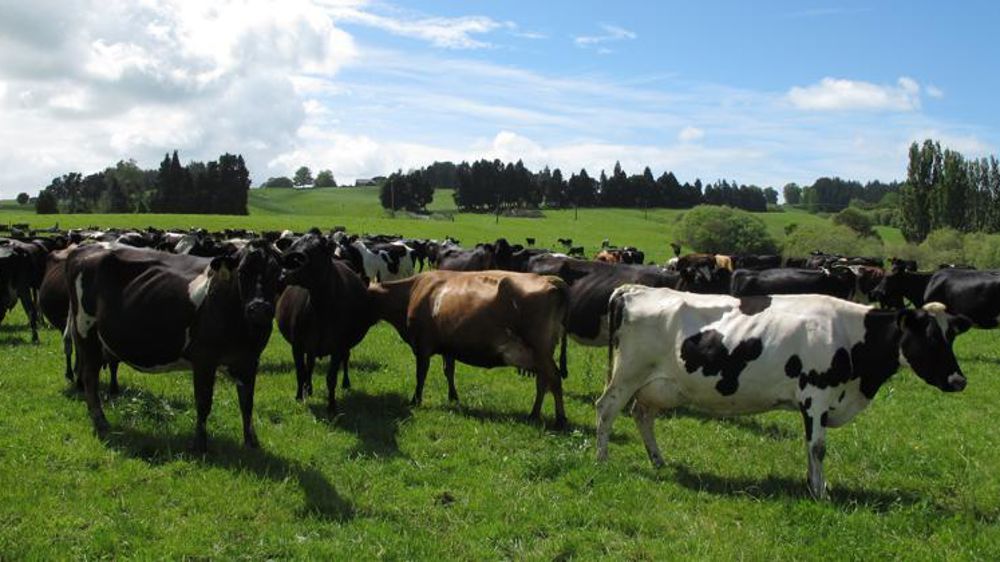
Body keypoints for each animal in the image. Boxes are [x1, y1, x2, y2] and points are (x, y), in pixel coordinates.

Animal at [66, 240, 281, 451]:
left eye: (278, 273)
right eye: (242, 272)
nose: (259, 308)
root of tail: (84, 247)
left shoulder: (250, 360)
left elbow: (247, 403)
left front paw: (252, 443)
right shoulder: (204, 359)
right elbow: (204, 402)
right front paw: (200, 444)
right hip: (86, 330)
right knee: (90, 377)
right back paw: (100, 422)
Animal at [277, 230, 377, 410]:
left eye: (317, 248)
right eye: (293, 245)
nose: (285, 271)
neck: (320, 307)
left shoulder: (338, 345)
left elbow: (331, 378)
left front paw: (331, 406)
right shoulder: (297, 344)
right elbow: (300, 371)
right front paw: (299, 396)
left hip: (344, 346)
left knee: (346, 359)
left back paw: (346, 383)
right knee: (309, 365)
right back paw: (308, 389)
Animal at [368, 270, 570, 427]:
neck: (414, 290)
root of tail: (550, 279)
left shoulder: (422, 346)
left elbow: (421, 375)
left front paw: (415, 401)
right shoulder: (448, 347)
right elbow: (448, 371)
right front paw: (453, 397)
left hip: (540, 350)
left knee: (554, 378)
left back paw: (559, 419)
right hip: (542, 353)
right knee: (543, 382)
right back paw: (534, 414)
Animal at [596, 286, 971, 499]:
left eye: (951, 336)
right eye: (930, 337)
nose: (959, 381)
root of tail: (631, 290)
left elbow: (809, 447)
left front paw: (812, 484)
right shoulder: (817, 394)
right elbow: (818, 447)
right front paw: (820, 493)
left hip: (657, 386)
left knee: (641, 414)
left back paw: (658, 460)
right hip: (628, 374)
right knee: (607, 408)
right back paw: (602, 459)